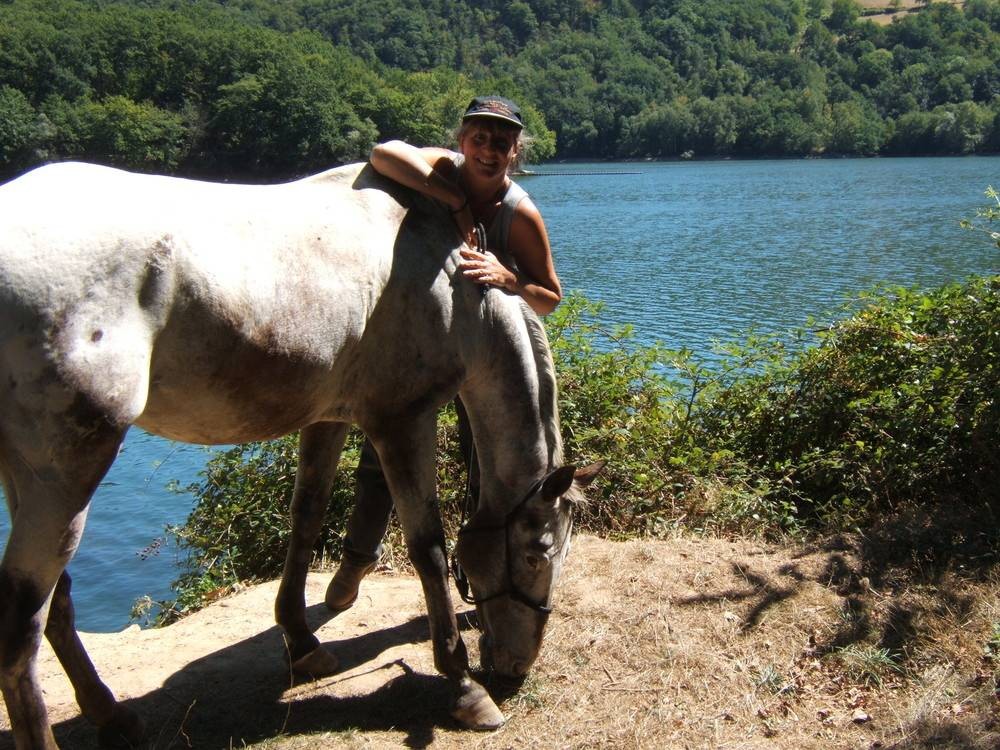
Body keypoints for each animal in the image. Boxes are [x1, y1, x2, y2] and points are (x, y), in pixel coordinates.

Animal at [0, 162, 600, 748]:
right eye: (535, 555)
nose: (516, 668)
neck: (453, 282)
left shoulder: (328, 417)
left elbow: (306, 515)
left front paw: (301, 640)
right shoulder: (401, 420)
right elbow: (427, 546)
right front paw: (463, 685)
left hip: (30, 475)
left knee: (55, 602)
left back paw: (110, 713)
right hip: (68, 472)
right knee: (22, 624)